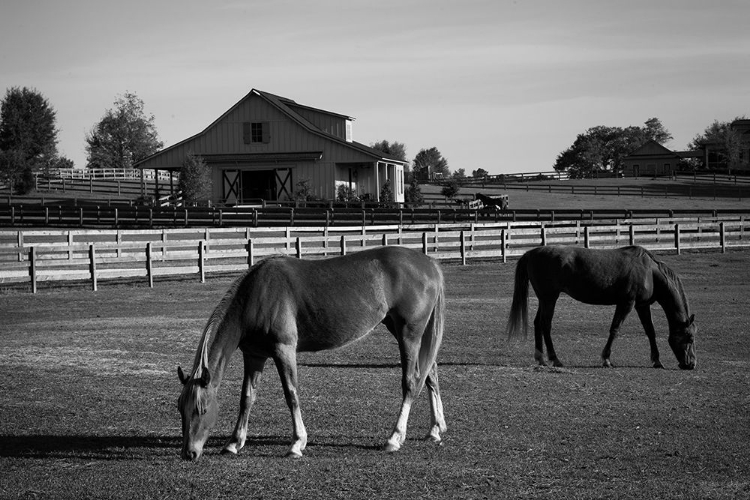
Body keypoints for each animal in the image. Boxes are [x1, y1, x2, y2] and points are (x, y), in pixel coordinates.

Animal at [176, 246, 446, 460]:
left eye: (202, 409)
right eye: (181, 409)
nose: (190, 453)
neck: (257, 294)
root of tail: (428, 263)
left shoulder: (284, 350)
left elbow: (291, 395)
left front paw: (297, 444)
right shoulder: (254, 356)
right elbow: (247, 398)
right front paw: (234, 443)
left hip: (409, 334)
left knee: (411, 382)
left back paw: (395, 438)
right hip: (404, 331)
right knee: (430, 373)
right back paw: (435, 429)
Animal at [506, 244, 700, 370]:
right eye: (690, 338)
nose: (691, 364)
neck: (650, 272)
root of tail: (531, 253)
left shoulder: (642, 305)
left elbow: (650, 331)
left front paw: (657, 361)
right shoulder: (626, 303)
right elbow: (615, 329)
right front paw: (606, 359)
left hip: (545, 299)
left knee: (538, 323)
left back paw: (541, 359)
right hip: (549, 298)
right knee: (545, 324)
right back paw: (555, 359)